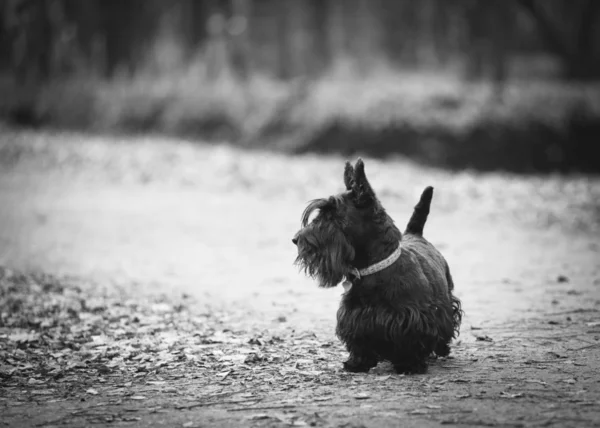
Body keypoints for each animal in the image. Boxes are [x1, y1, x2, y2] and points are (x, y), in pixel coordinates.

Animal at [292, 159, 462, 372]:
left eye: (332, 216)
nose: (296, 239)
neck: (373, 269)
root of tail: (415, 234)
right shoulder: (354, 316)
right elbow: (359, 339)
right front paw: (357, 362)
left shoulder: (413, 317)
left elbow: (412, 341)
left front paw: (409, 364)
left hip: (447, 296)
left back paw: (441, 349)